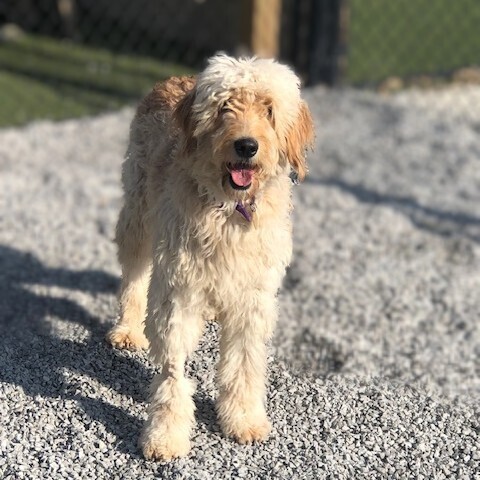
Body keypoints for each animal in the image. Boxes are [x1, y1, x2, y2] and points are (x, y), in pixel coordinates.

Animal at [106, 54, 314, 460]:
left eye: (269, 110)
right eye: (224, 108)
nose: (246, 146)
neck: (230, 211)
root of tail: (175, 77)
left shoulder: (253, 299)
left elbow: (244, 365)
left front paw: (243, 418)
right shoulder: (178, 292)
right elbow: (173, 372)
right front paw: (165, 434)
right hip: (139, 212)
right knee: (134, 272)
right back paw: (127, 328)